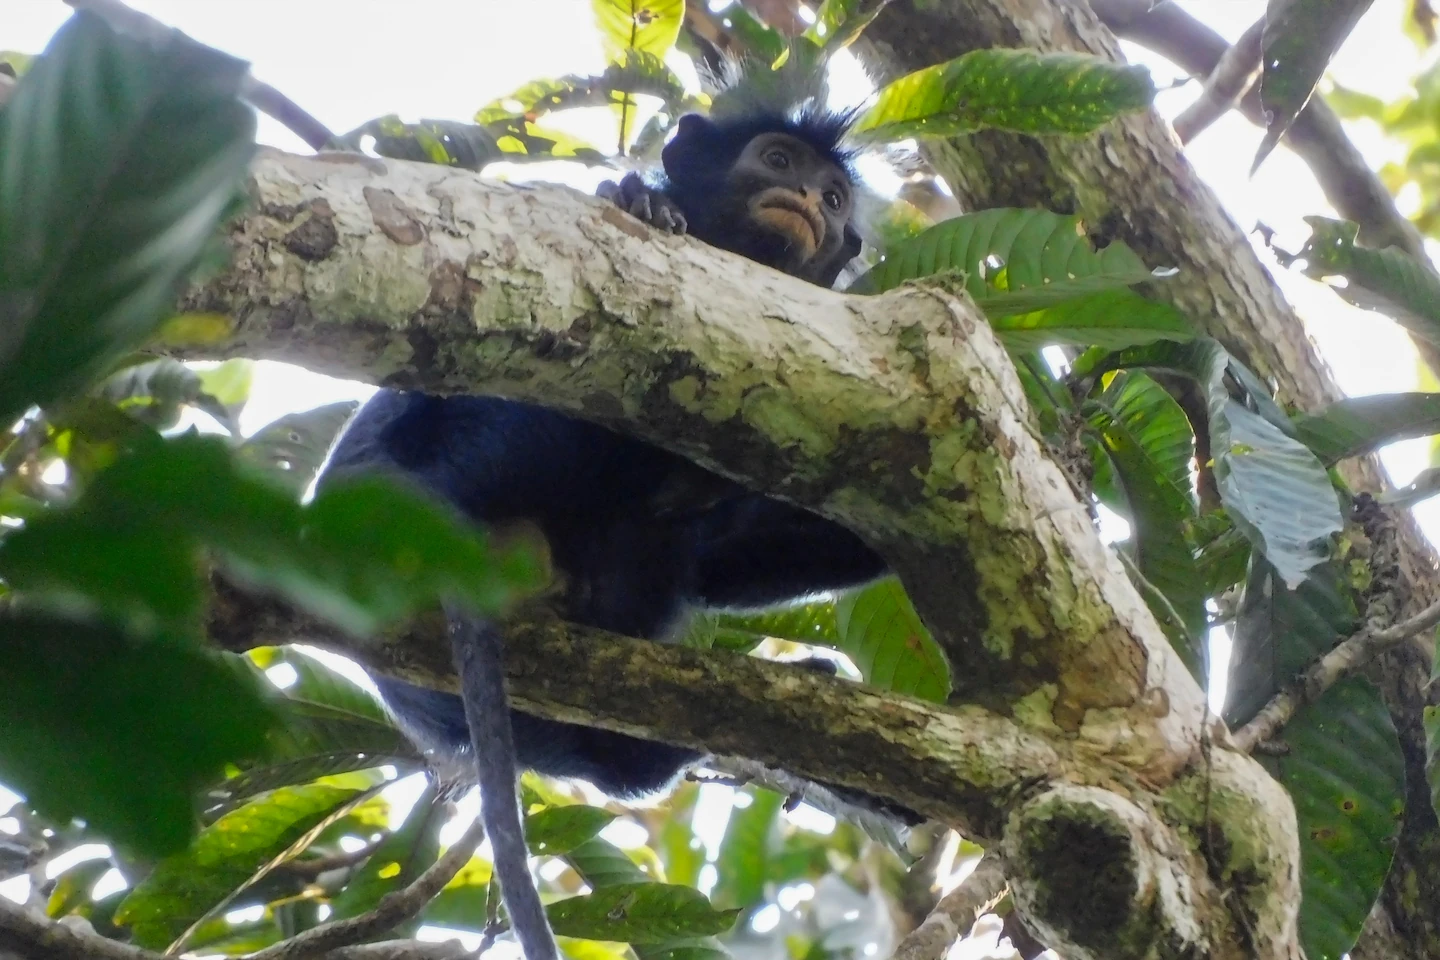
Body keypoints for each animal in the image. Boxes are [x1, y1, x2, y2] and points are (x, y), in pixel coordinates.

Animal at [318, 91, 885, 960]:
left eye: (832, 197)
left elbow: (724, 562)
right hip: (500, 437)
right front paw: (638, 200)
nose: (806, 200)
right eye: (777, 160)